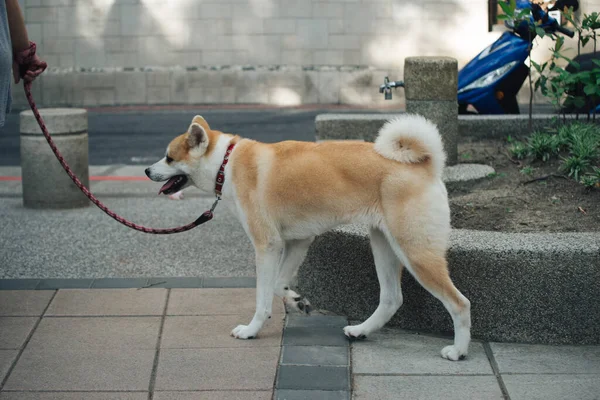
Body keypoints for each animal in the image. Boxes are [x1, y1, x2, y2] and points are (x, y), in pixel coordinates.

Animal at [146, 114, 474, 360]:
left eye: (169, 157)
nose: (148, 170)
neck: (226, 163)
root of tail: (427, 165)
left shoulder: (266, 246)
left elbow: (262, 298)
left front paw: (252, 330)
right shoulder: (297, 241)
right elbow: (278, 284)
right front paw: (296, 301)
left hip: (415, 252)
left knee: (460, 304)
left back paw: (458, 351)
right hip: (384, 246)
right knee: (392, 298)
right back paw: (361, 330)